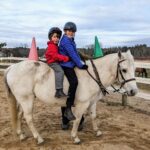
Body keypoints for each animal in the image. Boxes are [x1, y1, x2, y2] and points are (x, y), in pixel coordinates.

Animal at [3, 50, 138, 144]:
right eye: (124, 70)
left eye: (135, 69)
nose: (134, 91)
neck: (92, 75)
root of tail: (12, 67)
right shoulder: (82, 103)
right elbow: (77, 119)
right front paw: (75, 137)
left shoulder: (92, 102)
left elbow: (93, 116)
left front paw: (97, 131)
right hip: (27, 99)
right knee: (28, 118)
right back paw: (39, 138)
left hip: (22, 99)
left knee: (19, 115)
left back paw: (21, 135)